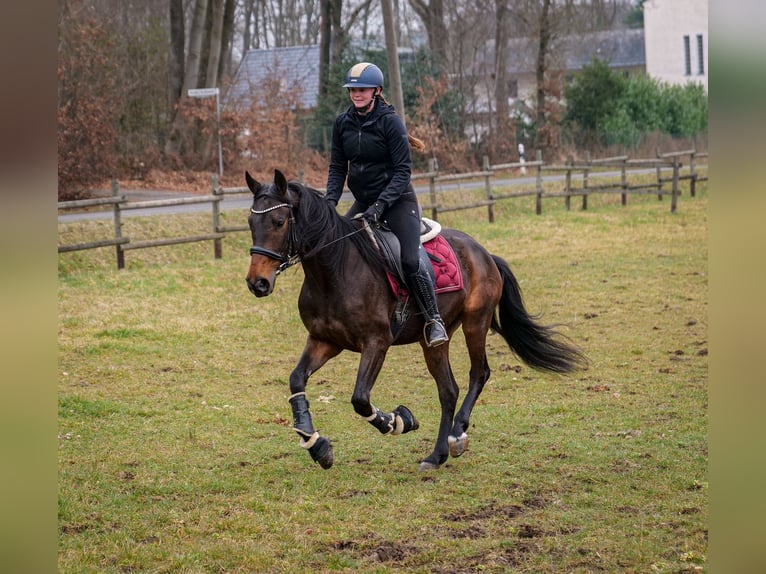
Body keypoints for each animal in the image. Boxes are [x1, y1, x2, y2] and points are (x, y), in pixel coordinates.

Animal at [246, 169, 588, 470]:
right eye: (250, 222)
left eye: (279, 221)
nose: (256, 283)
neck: (335, 271)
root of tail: (484, 253)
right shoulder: (324, 341)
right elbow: (296, 380)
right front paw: (317, 446)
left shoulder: (377, 342)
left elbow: (360, 398)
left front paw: (398, 421)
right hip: (433, 339)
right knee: (448, 390)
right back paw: (437, 455)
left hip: (475, 323)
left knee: (479, 373)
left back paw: (456, 435)